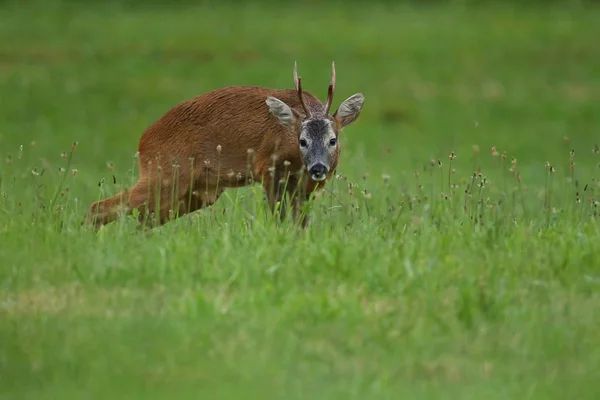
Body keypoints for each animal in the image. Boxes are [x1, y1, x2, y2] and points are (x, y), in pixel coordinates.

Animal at [85, 61, 366, 227]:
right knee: (100, 207)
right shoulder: (268, 168)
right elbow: (279, 216)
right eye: (302, 141)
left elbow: (301, 222)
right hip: (164, 173)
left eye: (333, 140)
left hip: (196, 192)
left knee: (144, 218)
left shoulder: (306, 185)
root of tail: (144, 140)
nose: (318, 168)